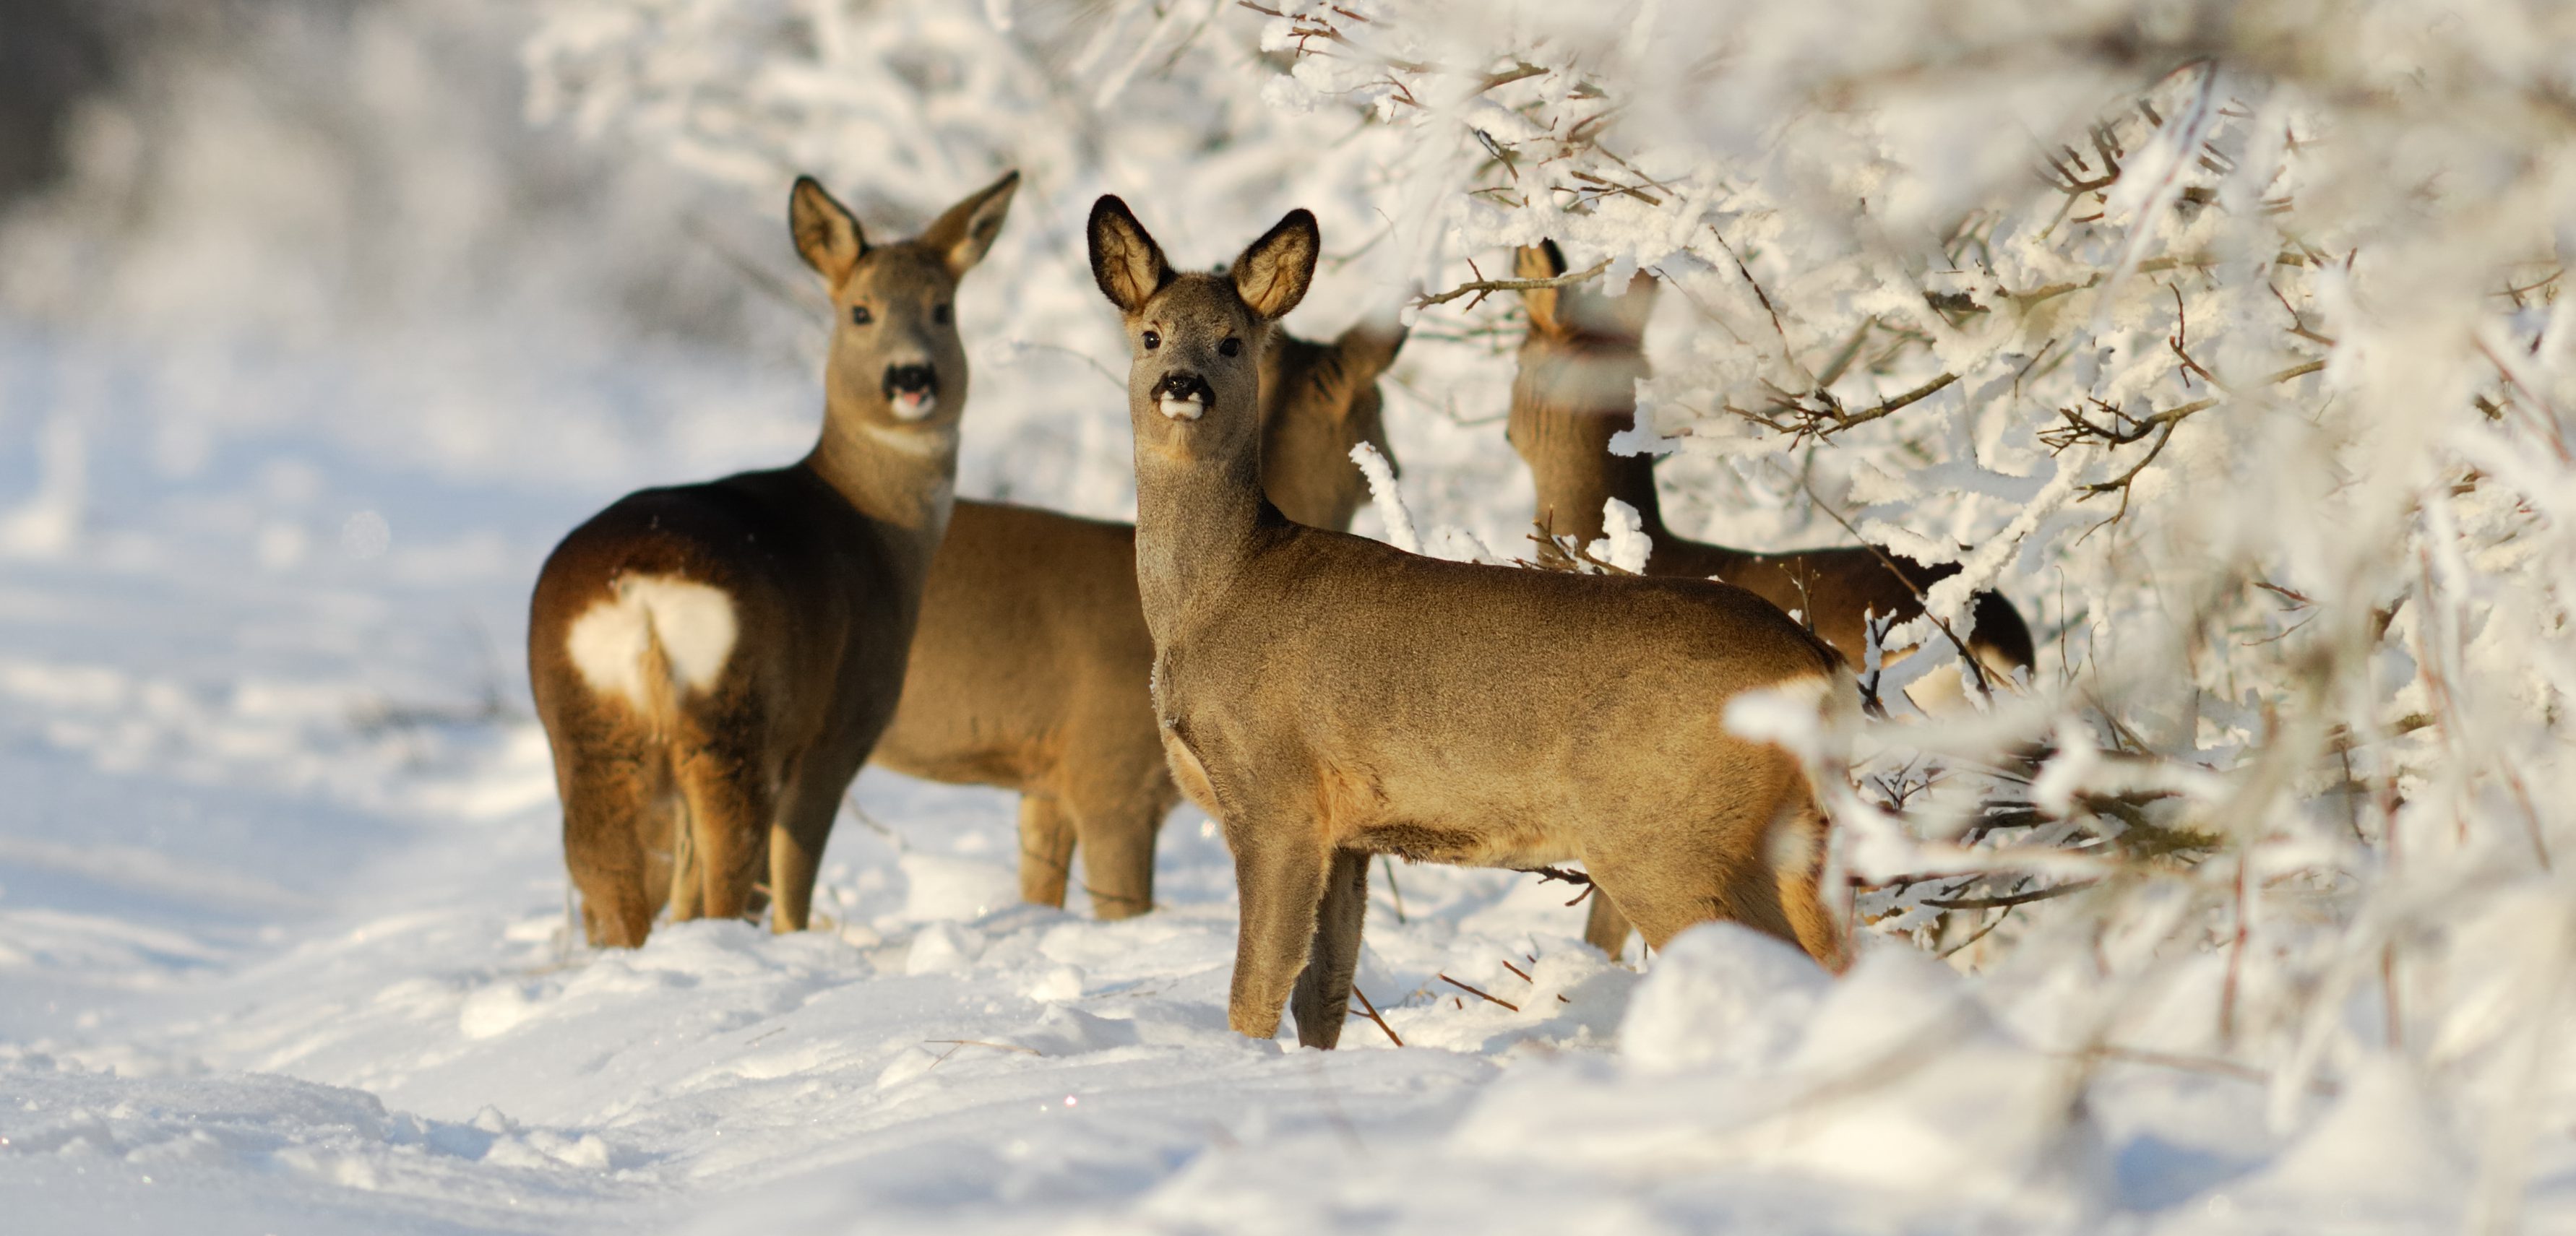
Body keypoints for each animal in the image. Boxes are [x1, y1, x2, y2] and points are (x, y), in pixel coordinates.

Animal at [530, 171, 1015, 947]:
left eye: (943, 309)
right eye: (860, 312)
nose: (911, 377)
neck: (875, 524)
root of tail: (638, 587)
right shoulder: (840, 724)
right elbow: (791, 876)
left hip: (587, 727)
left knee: (609, 868)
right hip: (735, 716)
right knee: (733, 861)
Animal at [1087, 198, 1854, 1045]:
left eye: (1230, 340)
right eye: (1151, 334)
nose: (1181, 384)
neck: (1218, 591)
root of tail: (1816, 666)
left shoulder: (1276, 791)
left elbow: (1254, 992)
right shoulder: (1349, 835)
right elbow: (1323, 996)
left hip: (1664, 837)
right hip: (1790, 841)